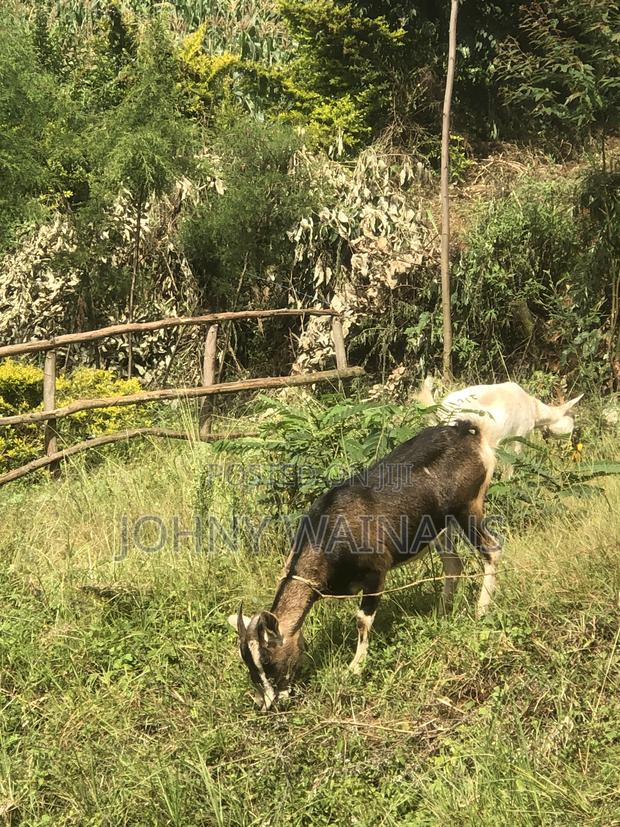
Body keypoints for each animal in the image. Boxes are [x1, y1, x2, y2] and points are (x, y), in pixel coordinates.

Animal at [228, 420, 500, 710]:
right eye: (249, 665)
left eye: (268, 661)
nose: (268, 705)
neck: (330, 533)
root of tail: (469, 432)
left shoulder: (376, 573)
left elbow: (361, 621)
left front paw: (355, 668)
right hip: (439, 524)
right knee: (453, 565)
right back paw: (441, 613)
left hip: (468, 508)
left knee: (492, 551)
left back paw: (482, 610)